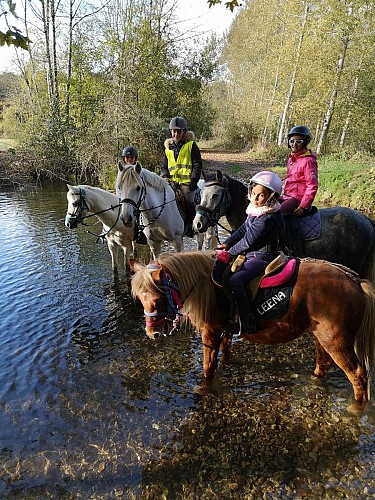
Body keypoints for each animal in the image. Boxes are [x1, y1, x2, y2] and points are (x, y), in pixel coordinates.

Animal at [130, 252, 375, 412]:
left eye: (158, 299)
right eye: (140, 298)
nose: (152, 333)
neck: (208, 284)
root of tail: (356, 281)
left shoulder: (210, 332)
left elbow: (208, 367)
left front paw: (205, 389)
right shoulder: (225, 331)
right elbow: (225, 353)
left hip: (335, 341)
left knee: (358, 375)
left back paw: (356, 409)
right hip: (321, 337)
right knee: (323, 365)